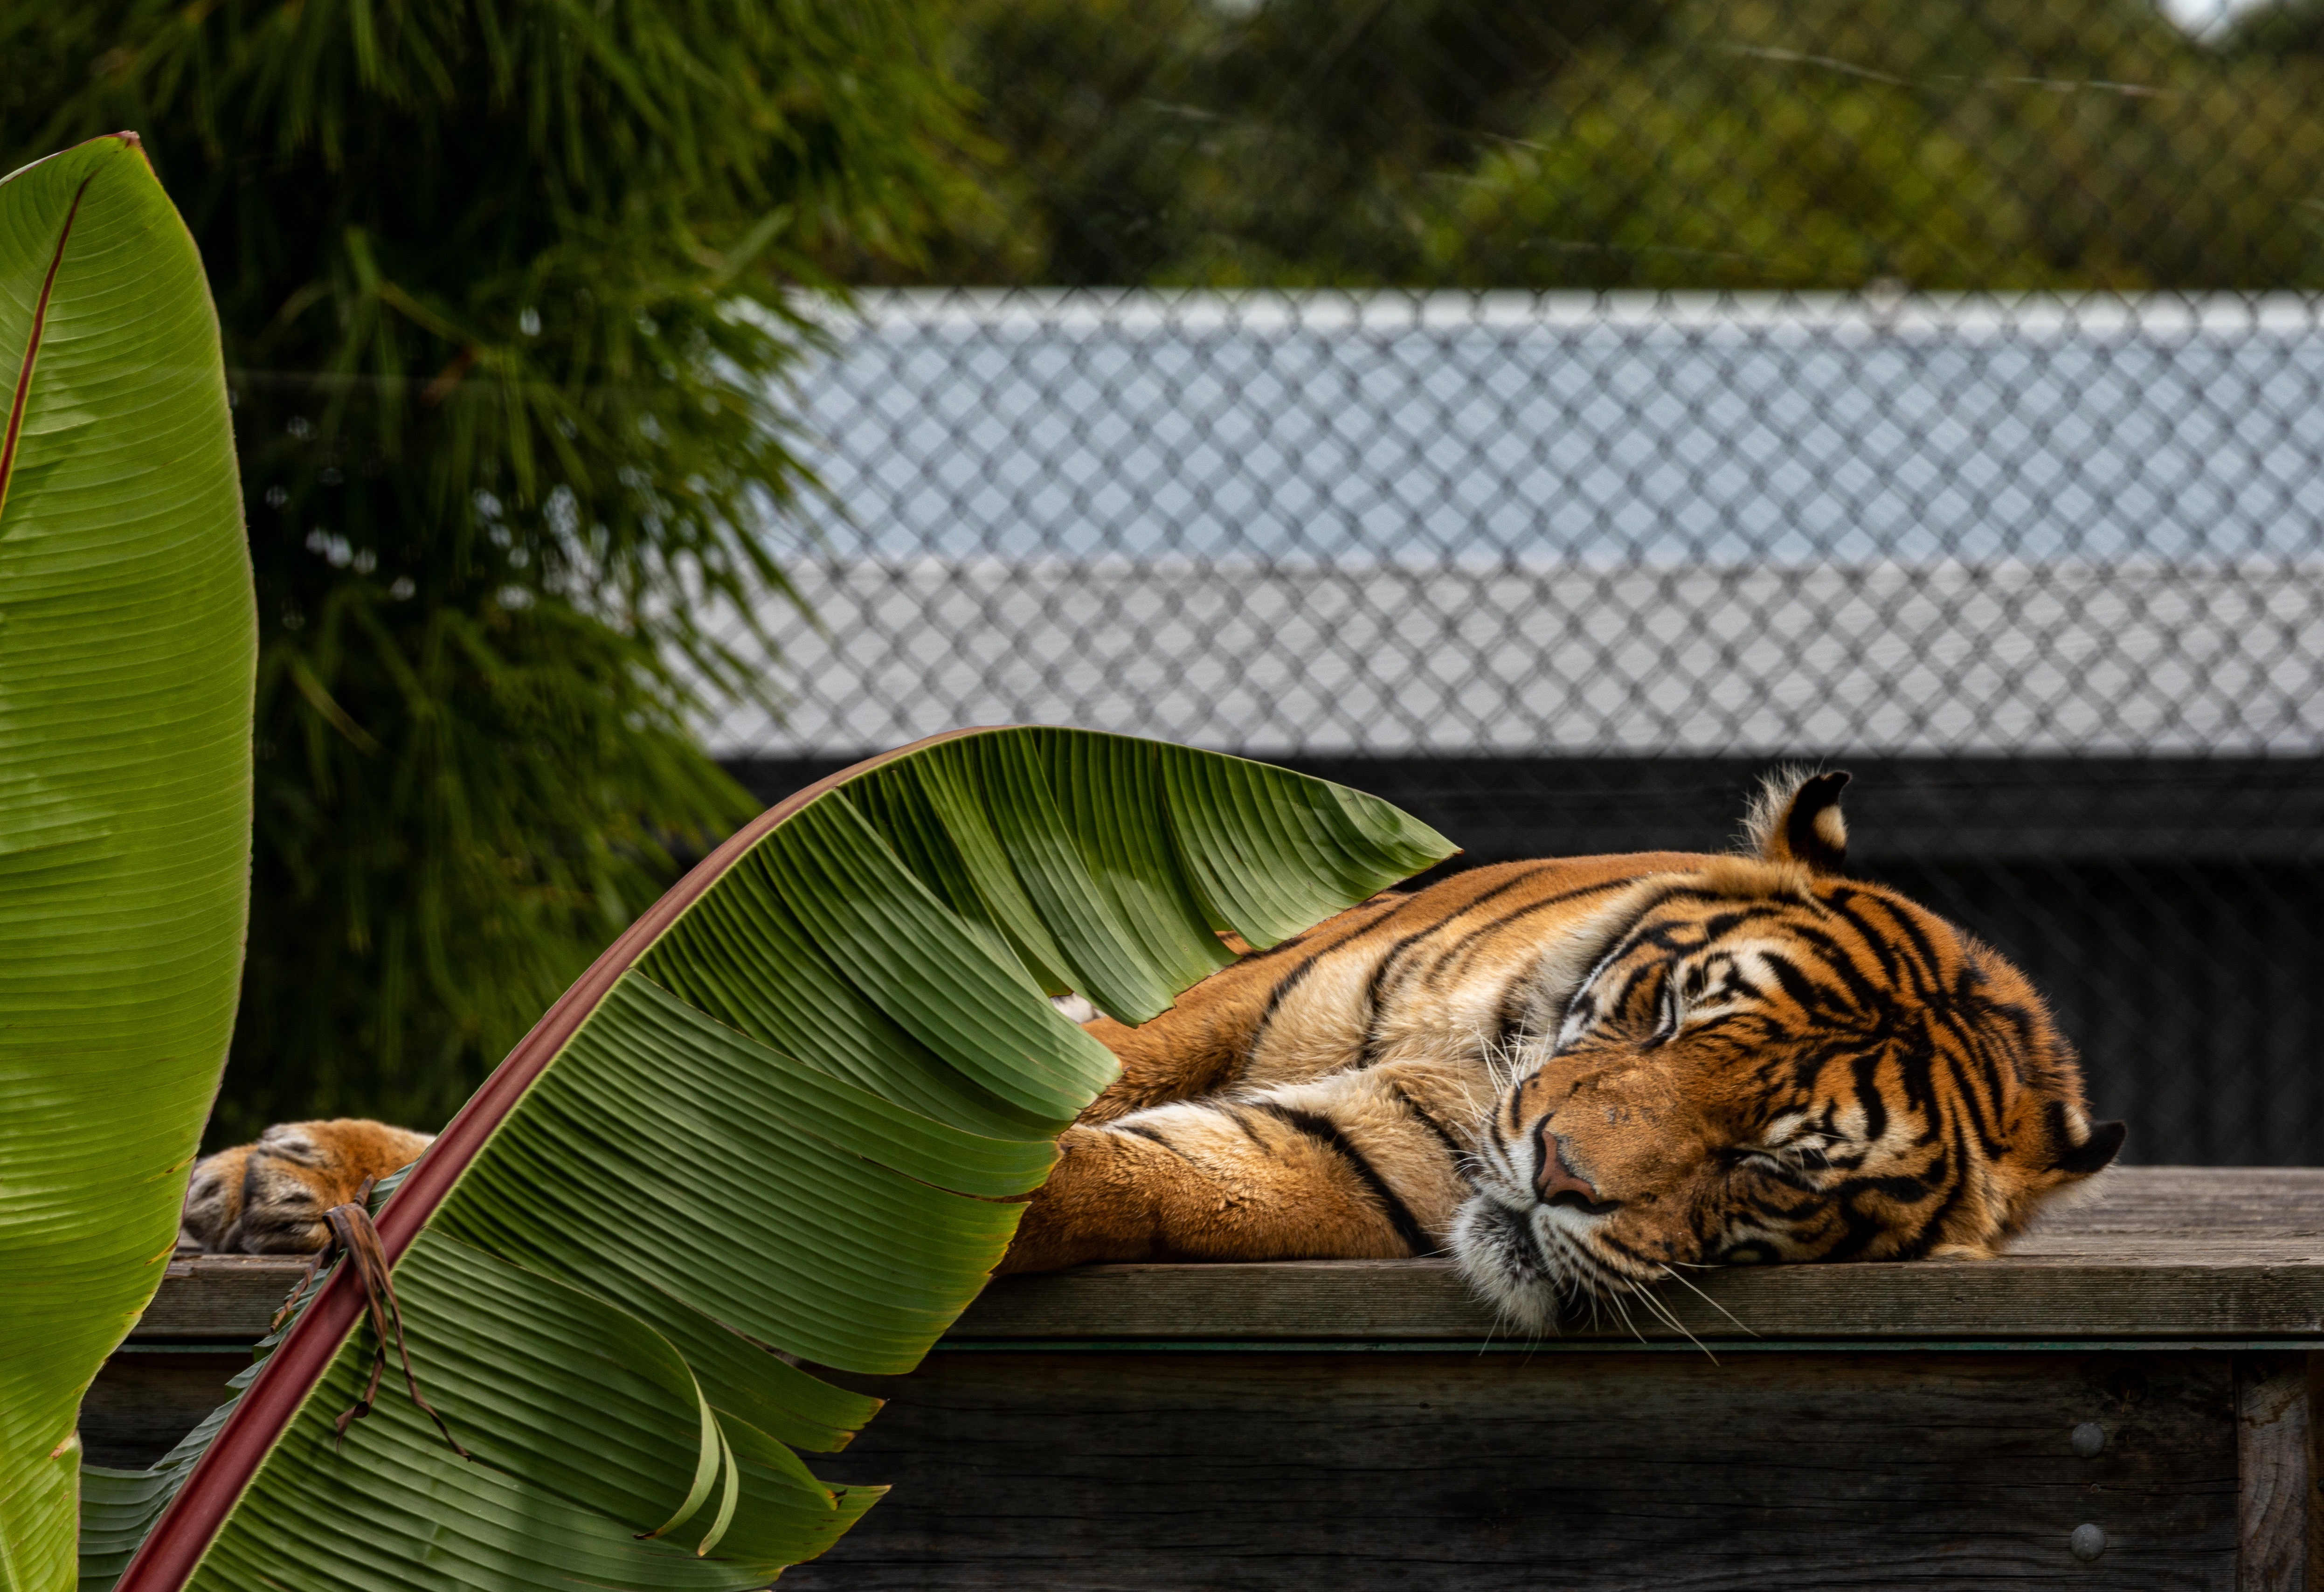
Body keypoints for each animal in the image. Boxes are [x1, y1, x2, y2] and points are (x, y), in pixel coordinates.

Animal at [181, 769, 2125, 1328]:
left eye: (1770, 1168)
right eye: (1667, 1016)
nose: (1564, 1173)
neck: (1495, 1048)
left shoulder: (1348, 1163)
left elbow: (1124, 1172)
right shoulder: (1201, 998)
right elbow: (1074, 1075)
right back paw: (274, 1181)